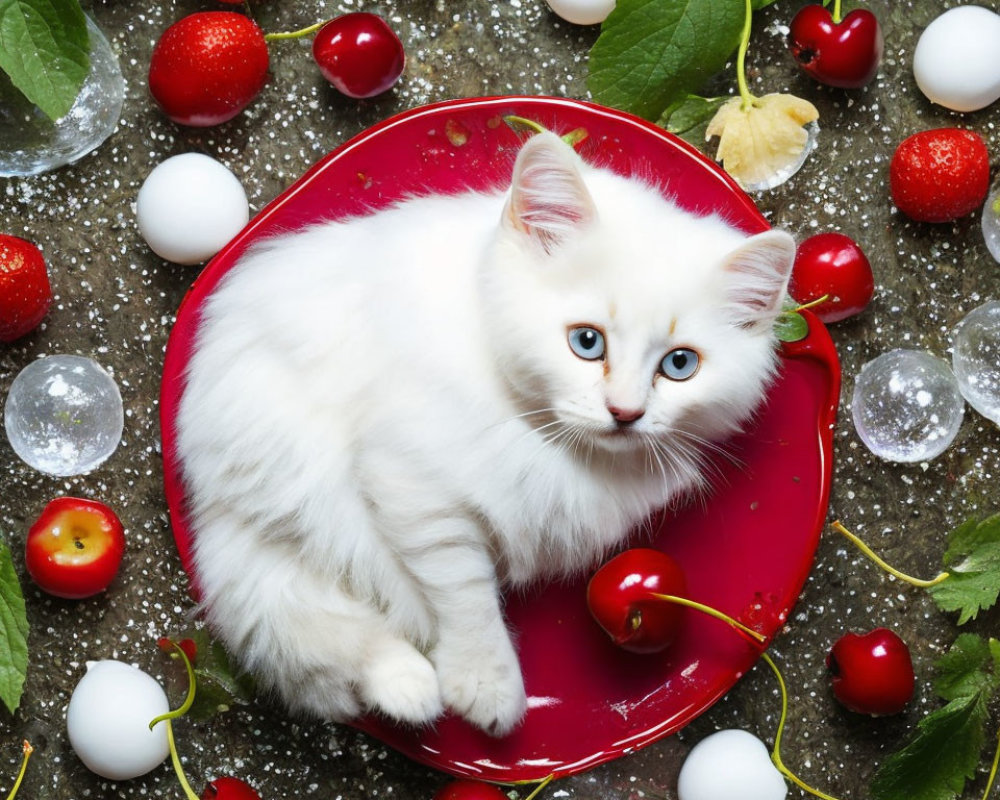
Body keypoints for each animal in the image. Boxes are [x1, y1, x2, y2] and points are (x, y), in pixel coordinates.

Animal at [174, 133, 796, 736]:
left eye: (680, 365)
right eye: (587, 342)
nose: (625, 413)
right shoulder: (413, 482)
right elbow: (464, 592)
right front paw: (486, 685)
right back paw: (415, 691)